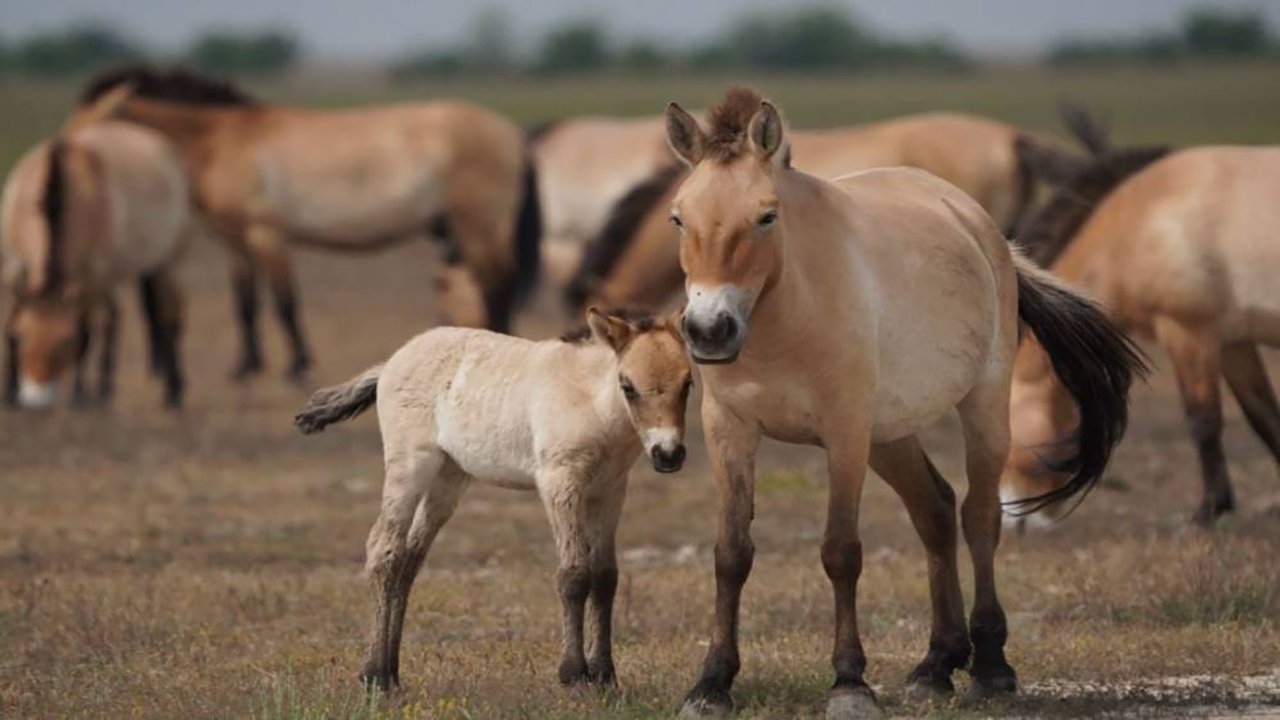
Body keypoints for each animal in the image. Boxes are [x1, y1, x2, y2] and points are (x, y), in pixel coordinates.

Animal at [1, 120, 189, 407]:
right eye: (19, 337)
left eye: (66, 341)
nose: (36, 398)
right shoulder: (14, 267)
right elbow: (9, 319)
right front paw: (9, 393)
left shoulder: (92, 278)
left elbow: (87, 332)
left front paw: (81, 394)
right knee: (116, 316)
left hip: (167, 261)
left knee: (164, 315)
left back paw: (172, 389)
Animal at [71, 65, 540, 381]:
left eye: (92, 127)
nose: (65, 168)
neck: (222, 140)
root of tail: (511, 134)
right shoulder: (235, 239)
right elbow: (246, 301)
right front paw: (246, 366)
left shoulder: (266, 232)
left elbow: (284, 300)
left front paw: (296, 365)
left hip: (478, 226)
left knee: (498, 284)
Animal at [294, 307, 696, 691]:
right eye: (628, 386)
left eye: (688, 383)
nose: (668, 455)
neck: (590, 402)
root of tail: (392, 361)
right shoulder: (559, 483)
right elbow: (574, 575)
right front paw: (574, 674)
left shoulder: (610, 491)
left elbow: (605, 577)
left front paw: (606, 676)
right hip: (409, 468)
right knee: (384, 551)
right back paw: (375, 674)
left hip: (448, 480)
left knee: (409, 561)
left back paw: (392, 672)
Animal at [665, 89, 1146, 717]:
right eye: (679, 217)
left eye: (766, 216)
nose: (709, 330)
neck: (785, 314)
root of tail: (974, 221)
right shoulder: (730, 431)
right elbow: (731, 554)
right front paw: (712, 683)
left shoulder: (844, 435)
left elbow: (841, 551)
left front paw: (849, 683)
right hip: (890, 436)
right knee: (935, 511)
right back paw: (937, 665)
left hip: (981, 408)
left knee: (979, 517)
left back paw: (991, 665)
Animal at [1003, 114, 1280, 525]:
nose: (1011, 511)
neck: (1143, 218)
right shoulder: (1234, 343)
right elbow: (1265, 418)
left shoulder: (1187, 331)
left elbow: (1204, 421)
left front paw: (1205, 512)